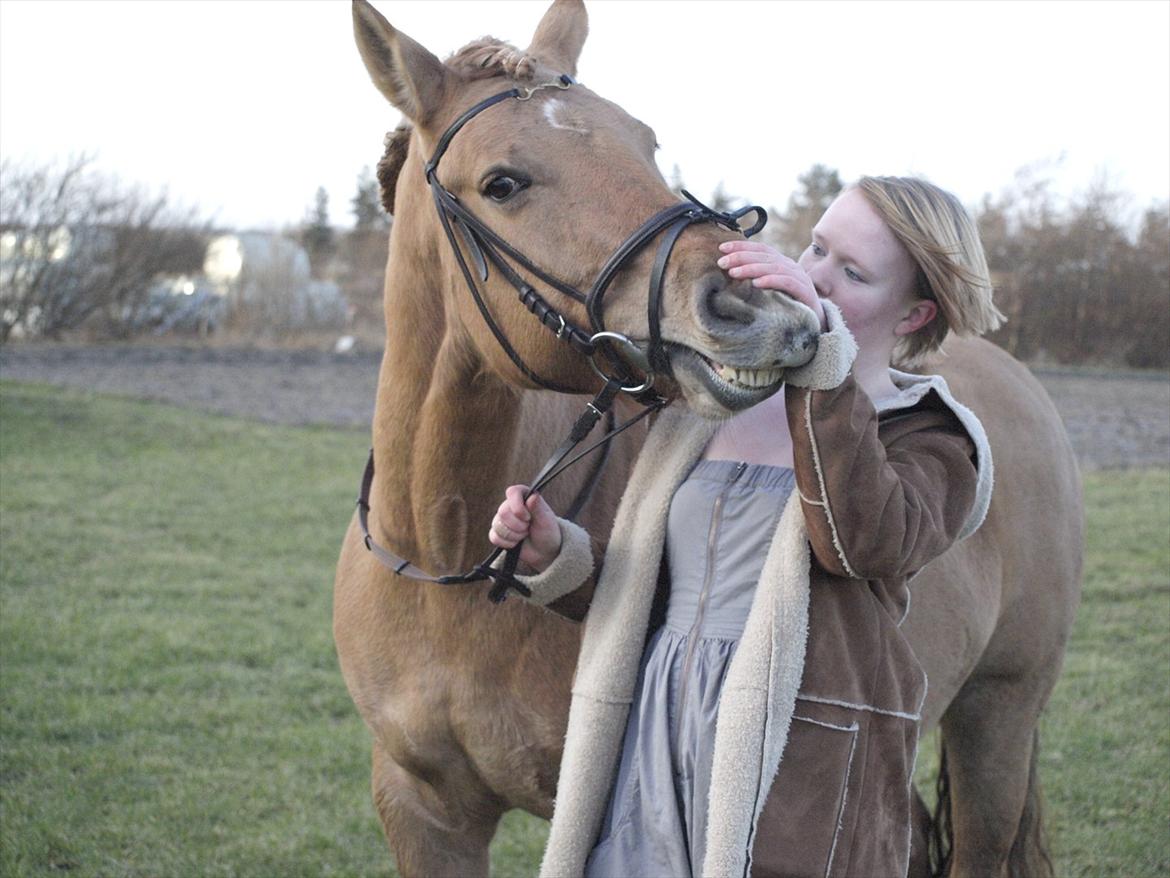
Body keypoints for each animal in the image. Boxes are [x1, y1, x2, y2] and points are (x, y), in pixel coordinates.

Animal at [334, 3, 1081, 875]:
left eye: (645, 143)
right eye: (503, 183)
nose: (758, 311)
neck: (443, 554)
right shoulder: (424, 812)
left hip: (998, 717)